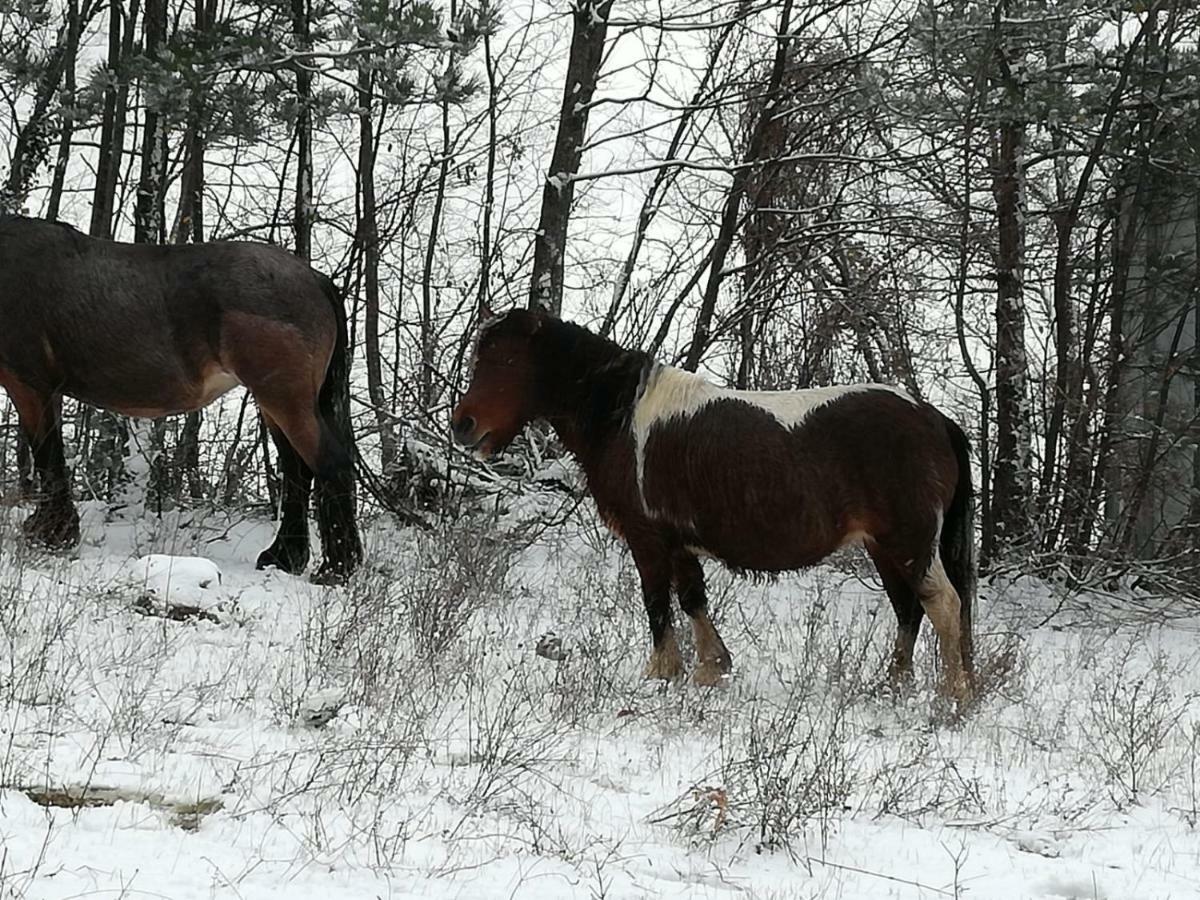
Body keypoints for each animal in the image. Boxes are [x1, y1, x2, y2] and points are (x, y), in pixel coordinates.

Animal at [2, 218, 362, 585]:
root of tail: (314, 278)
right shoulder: (44, 390)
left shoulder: (29, 385)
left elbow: (47, 456)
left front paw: (50, 535)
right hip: (279, 404)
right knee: (297, 471)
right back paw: (284, 557)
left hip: (285, 399)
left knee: (329, 464)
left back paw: (336, 568)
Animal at [451, 309, 974, 696]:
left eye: (508, 362)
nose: (463, 426)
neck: (622, 417)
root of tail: (933, 418)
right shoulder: (680, 541)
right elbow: (692, 599)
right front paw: (711, 667)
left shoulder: (647, 538)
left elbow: (657, 603)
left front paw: (662, 674)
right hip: (883, 546)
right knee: (909, 609)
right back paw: (893, 687)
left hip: (908, 541)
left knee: (943, 606)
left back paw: (951, 697)